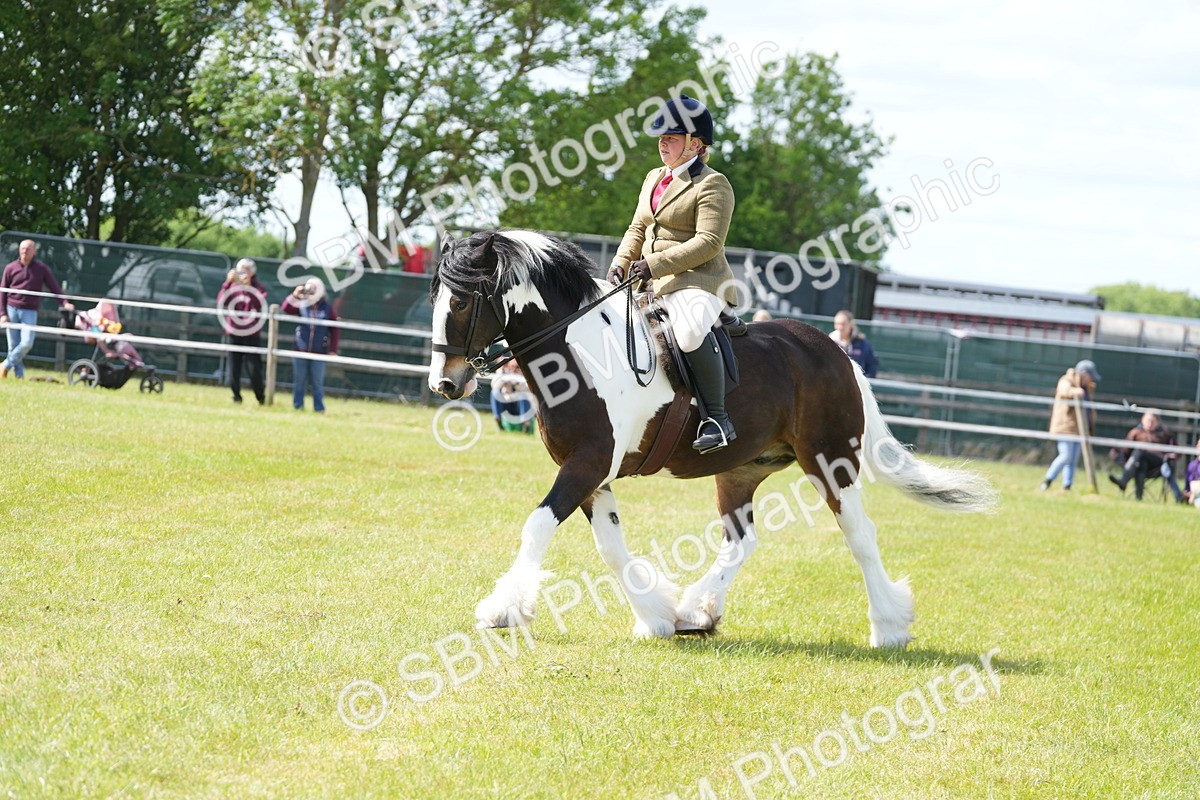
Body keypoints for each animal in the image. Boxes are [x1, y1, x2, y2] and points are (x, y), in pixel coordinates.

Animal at [427, 229, 996, 646]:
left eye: (462, 302)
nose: (446, 383)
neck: (582, 353)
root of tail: (834, 351)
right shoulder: (591, 473)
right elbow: (611, 547)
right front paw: (654, 615)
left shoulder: (587, 464)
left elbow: (538, 526)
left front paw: (502, 610)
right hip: (741, 469)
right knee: (742, 540)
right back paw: (696, 612)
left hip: (831, 460)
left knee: (859, 535)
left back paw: (889, 626)